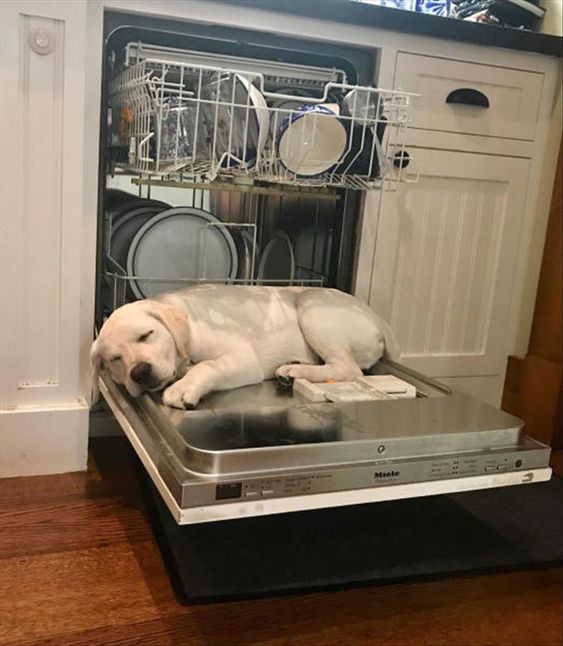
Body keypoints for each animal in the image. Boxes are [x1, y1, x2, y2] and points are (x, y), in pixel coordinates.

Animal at [90, 288, 400, 410]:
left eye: (146, 335)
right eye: (115, 359)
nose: (140, 372)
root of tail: (377, 318)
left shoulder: (243, 360)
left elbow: (208, 365)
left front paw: (183, 388)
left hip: (312, 311)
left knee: (349, 368)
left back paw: (293, 370)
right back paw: (292, 368)